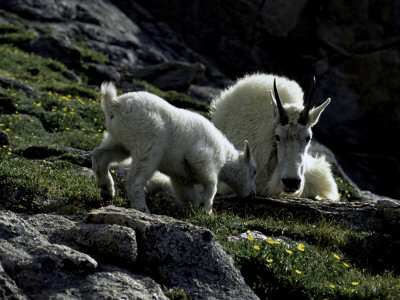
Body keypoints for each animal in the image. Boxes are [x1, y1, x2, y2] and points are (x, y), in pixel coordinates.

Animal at [92, 82, 258, 213]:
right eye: (254, 171)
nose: (253, 195)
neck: (225, 159)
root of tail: (115, 105)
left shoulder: (182, 177)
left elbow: (188, 195)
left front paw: (195, 209)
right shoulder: (203, 158)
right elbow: (212, 184)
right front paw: (207, 209)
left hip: (119, 140)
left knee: (100, 155)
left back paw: (106, 189)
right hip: (148, 144)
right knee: (135, 179)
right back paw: (142, 208)